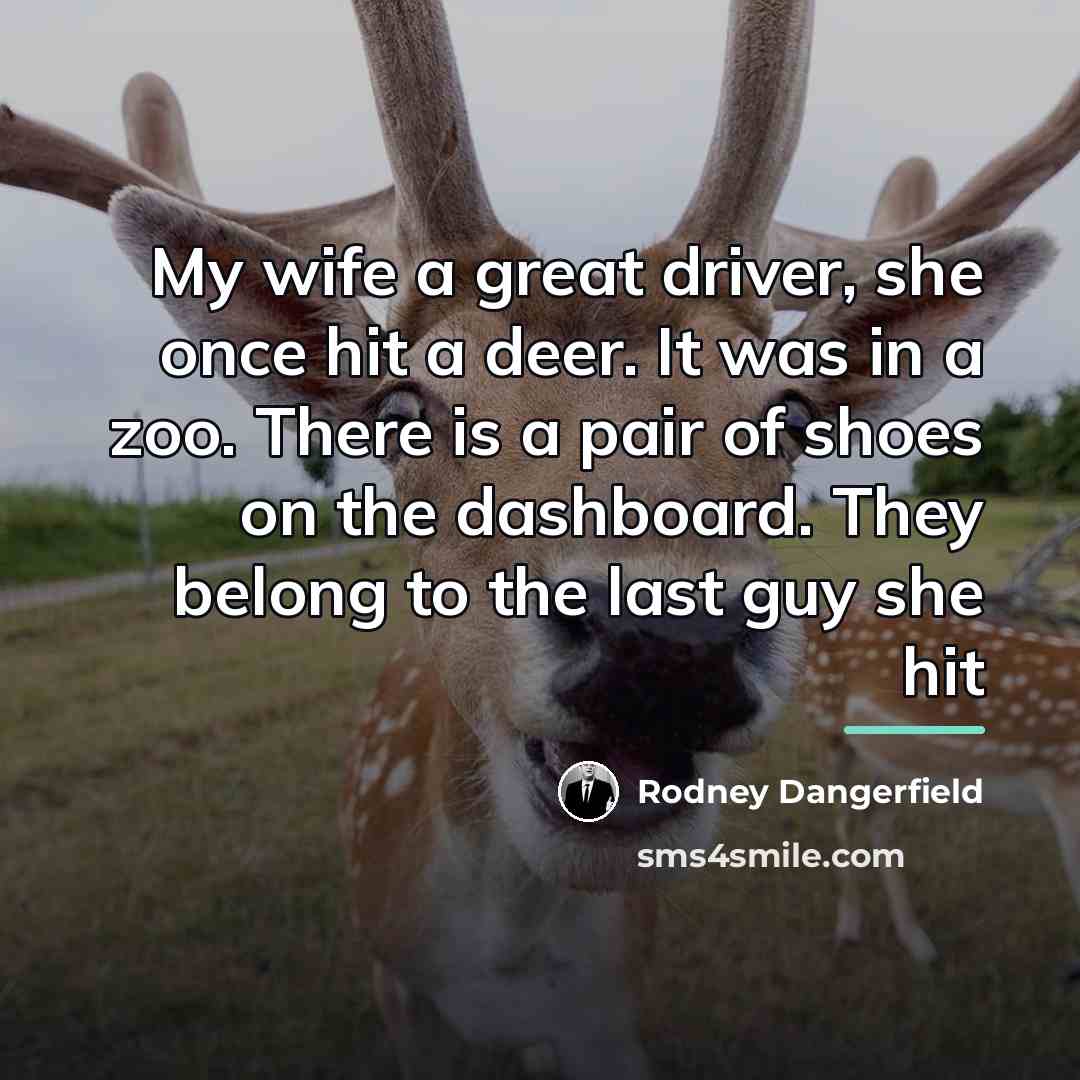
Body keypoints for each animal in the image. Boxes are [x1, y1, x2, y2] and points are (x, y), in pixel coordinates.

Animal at [4, 1, 1080, 1075]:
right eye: (404, 402)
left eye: (789, 412)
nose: (669, 644)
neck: (501, 960)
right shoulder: (395, 985)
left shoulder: (614, 1009)